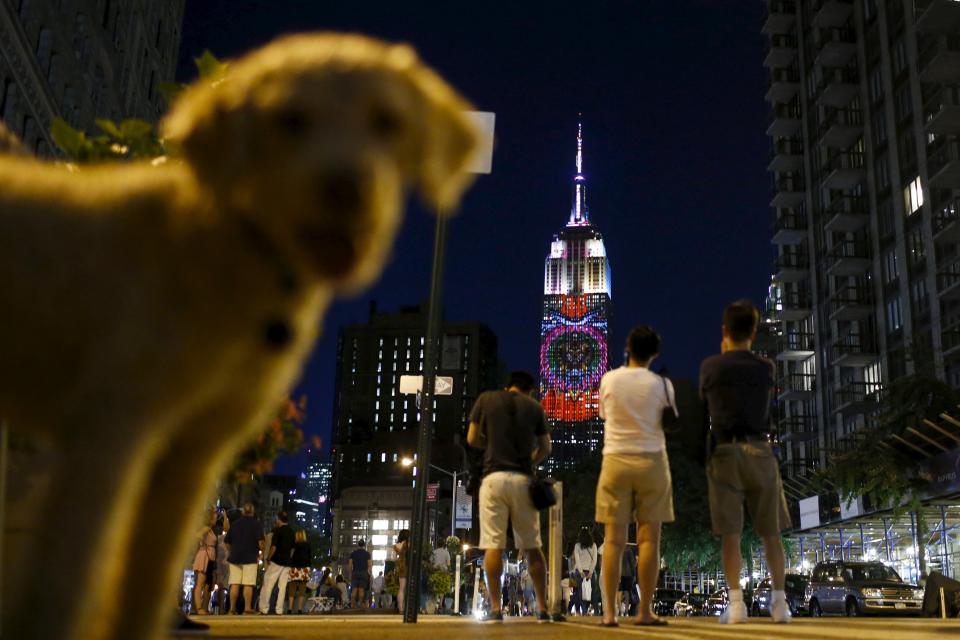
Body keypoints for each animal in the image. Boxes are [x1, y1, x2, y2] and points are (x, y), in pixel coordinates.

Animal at [0, 35, 478, 640]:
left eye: (386, 121)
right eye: (290, 120)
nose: (345, 185)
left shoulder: (184, 454)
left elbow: (144, 578)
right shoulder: (110, 428)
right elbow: (75, 567)